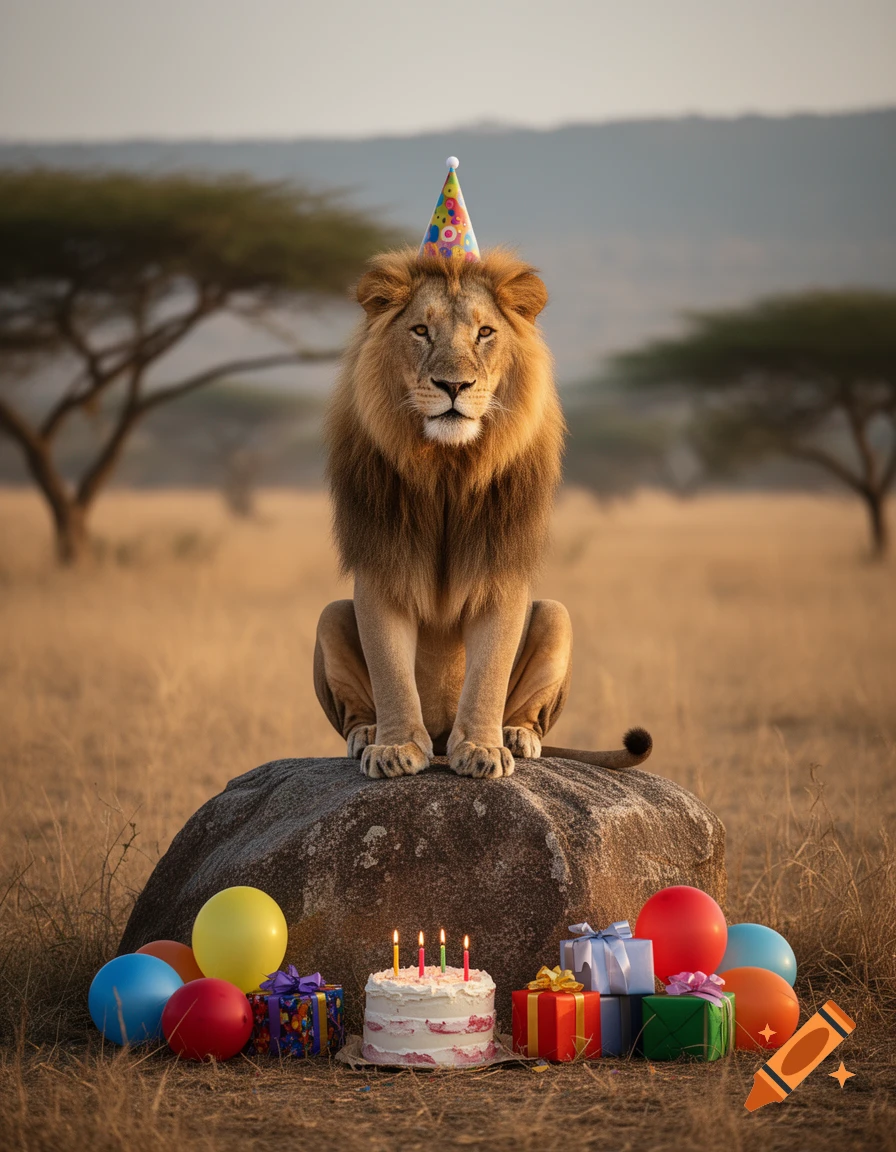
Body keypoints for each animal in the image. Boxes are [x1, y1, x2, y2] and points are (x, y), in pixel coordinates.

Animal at [313, 246, 652, 779]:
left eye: (485, 333)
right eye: (421, 330)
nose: (454, 385)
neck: (447, 470)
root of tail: (437, 735)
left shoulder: (502, 572)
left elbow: (489, 672)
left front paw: (481, 748)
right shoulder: (381, 566)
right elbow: (390, 671)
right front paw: (393, 748)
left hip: (555, 615)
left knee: (530, 709)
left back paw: (516, 736)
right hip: (329, 616)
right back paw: (367, 734)